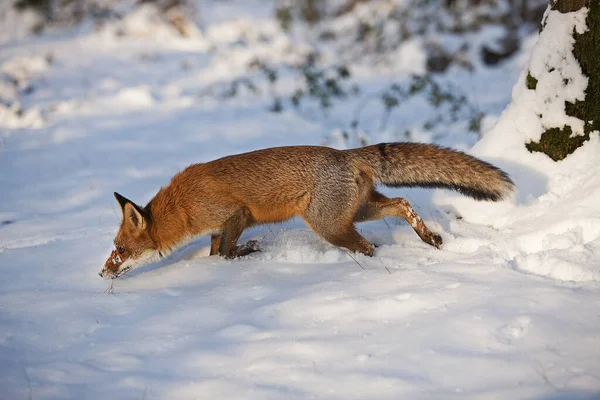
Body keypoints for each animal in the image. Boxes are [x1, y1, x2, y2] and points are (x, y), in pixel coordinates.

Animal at [99, 143, 516, 278]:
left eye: (120, 250)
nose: (102, 273)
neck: (183, 206)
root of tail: (345, 154)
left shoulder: (236, 215)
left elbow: (227, 253)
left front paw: (249, 252)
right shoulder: (218, 226)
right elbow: (217, 252)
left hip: (330, 225)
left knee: (368, 247)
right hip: (358, 212)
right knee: (401, 203)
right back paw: (429, 238)